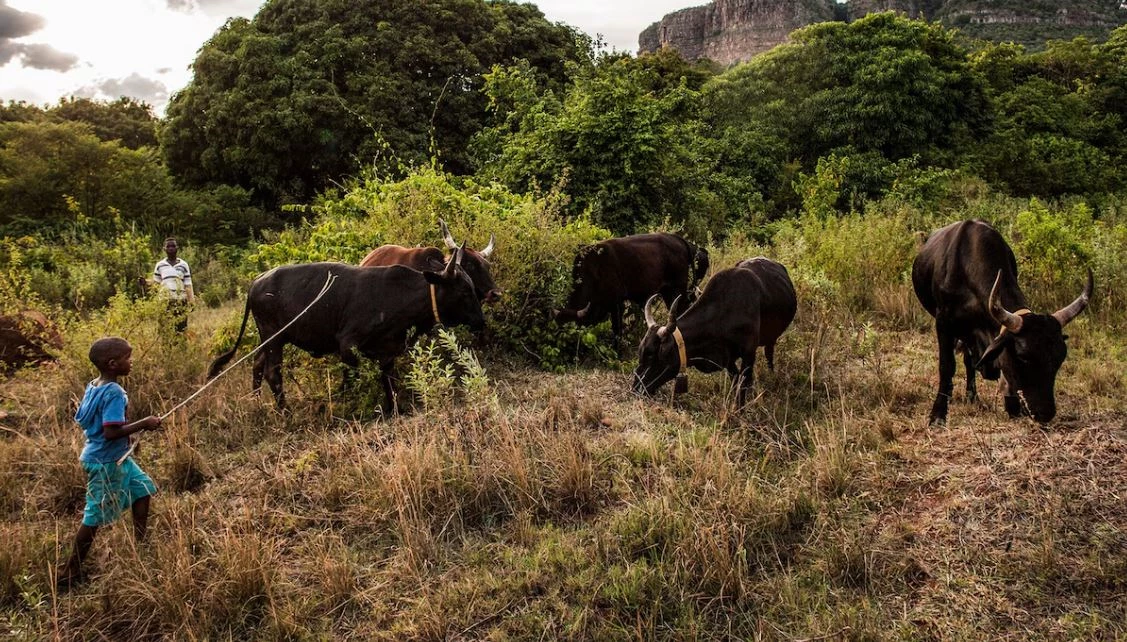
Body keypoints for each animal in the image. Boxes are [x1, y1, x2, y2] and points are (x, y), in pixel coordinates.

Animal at [552, 230, 707, 344]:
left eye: (571, 330)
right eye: (558, 327)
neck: (594, 270)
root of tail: (678, 239)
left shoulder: (616, 304)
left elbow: (617, 330)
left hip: (677, 289)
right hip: (668, 292)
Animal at [631, 255, 797, 403]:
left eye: (652, 355)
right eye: (640, 353)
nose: (636, 388)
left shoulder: (749, 353)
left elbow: (743, 384)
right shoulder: (727, 359)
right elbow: (735, 380)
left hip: (770, 340)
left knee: (769, 355)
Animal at [915, 219, 1090, 425]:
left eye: (1060, 358)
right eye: (1023, 357)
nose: (1045, 413)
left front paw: (1012, 405)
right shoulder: (943, 323)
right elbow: (947, 366)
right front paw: (938, 414)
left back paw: (972, 398)